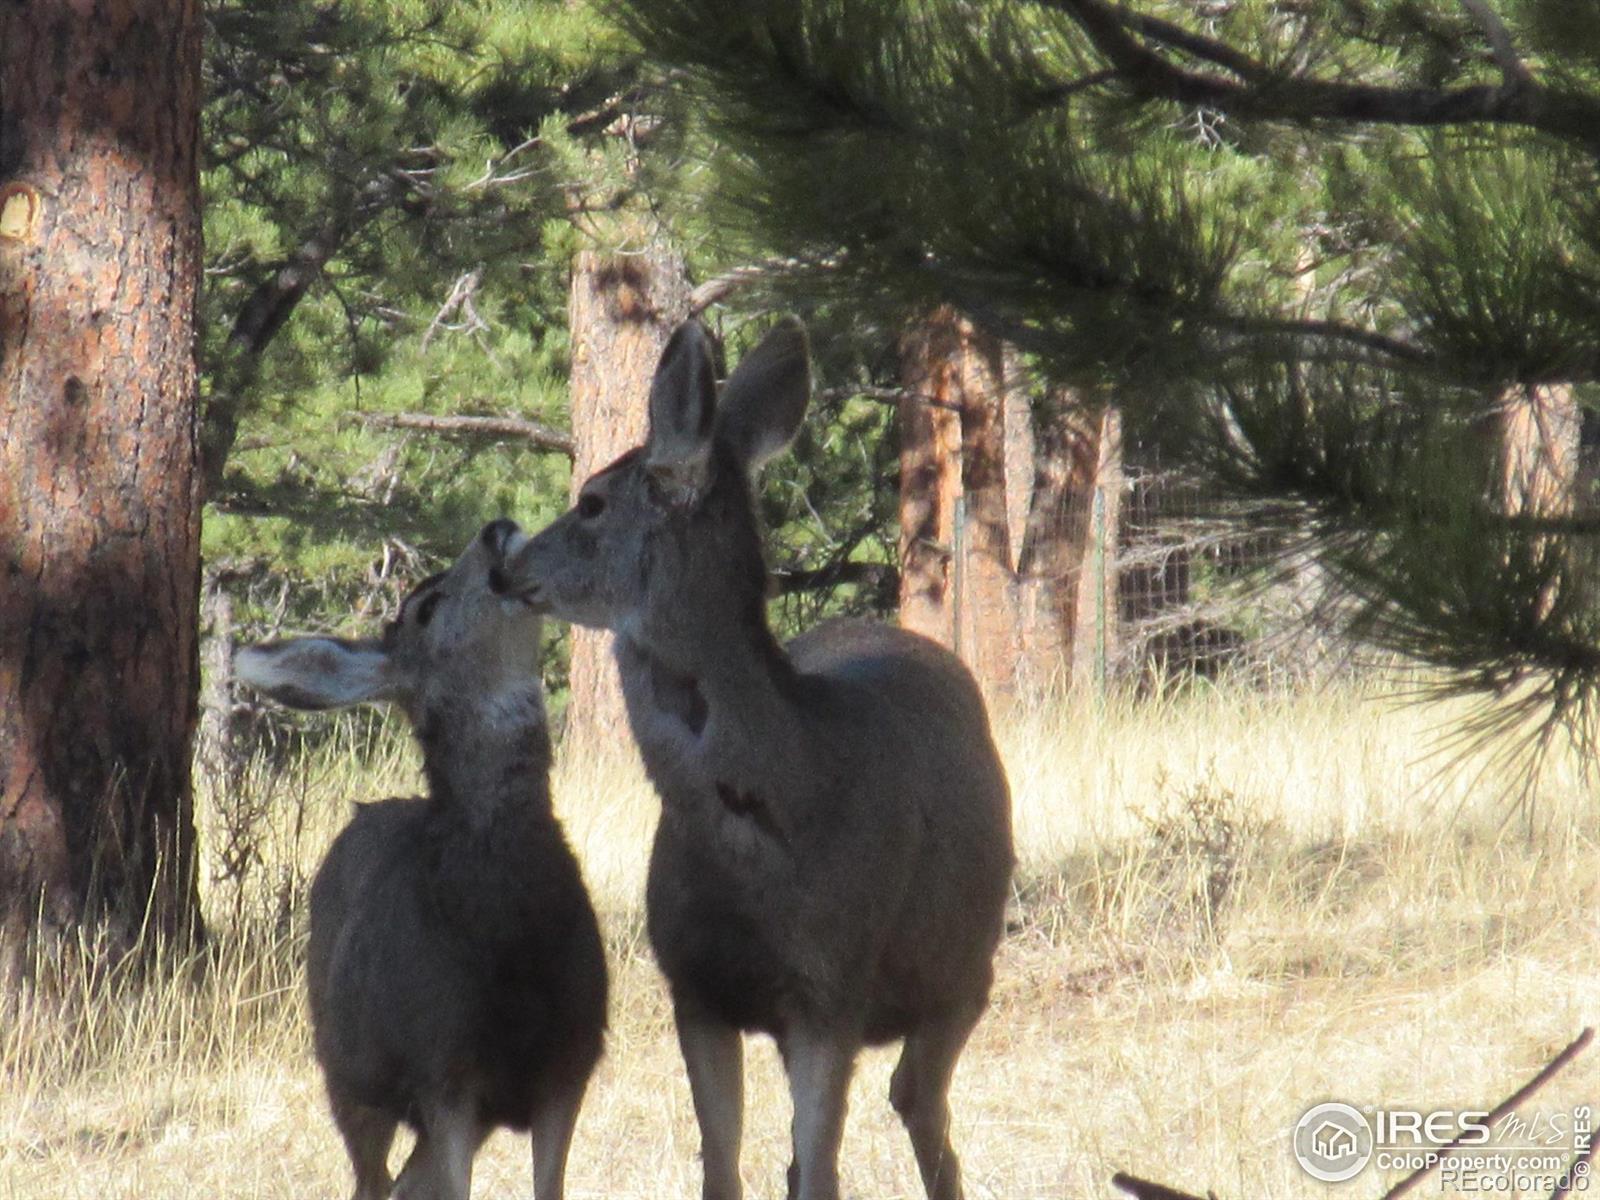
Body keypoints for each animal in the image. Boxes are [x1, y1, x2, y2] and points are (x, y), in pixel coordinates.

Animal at [233, 524, 608, 1200]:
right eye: (427, 606)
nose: (495, 530)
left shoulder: (570, 1061)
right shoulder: (444, 1069)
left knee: (407, 1181)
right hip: (347, 1073)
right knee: (373, 1181)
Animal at [489, 320, 1011, 1200]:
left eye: (591, 502)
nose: (507, 565)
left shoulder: (831, 988)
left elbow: (822, 1168)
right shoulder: (693, 986)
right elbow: (724, 1165)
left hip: (968, 966)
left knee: (917, 1100)